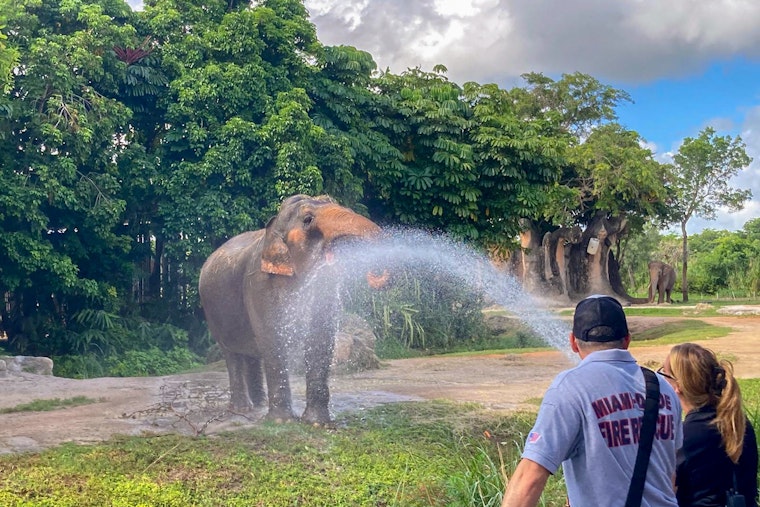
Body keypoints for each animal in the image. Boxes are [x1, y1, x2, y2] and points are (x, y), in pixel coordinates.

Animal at [199, 195, 387, 424]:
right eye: (307, 220)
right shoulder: (259, 284)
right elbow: (273, 337)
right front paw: (283, 421)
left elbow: (320, 337)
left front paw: (317, 423)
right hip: (213, 311)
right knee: (232, 354)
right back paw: (242, 409)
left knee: (252, 354)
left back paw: (259, 406)